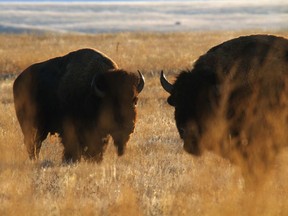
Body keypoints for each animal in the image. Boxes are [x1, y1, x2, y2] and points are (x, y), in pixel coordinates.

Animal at [13, 48, 144, 162]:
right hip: (32, 126)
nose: (129, 127)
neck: (94, 94)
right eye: (114, 102)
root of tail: (17, 81)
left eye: (135, 100)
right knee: (33, 143)